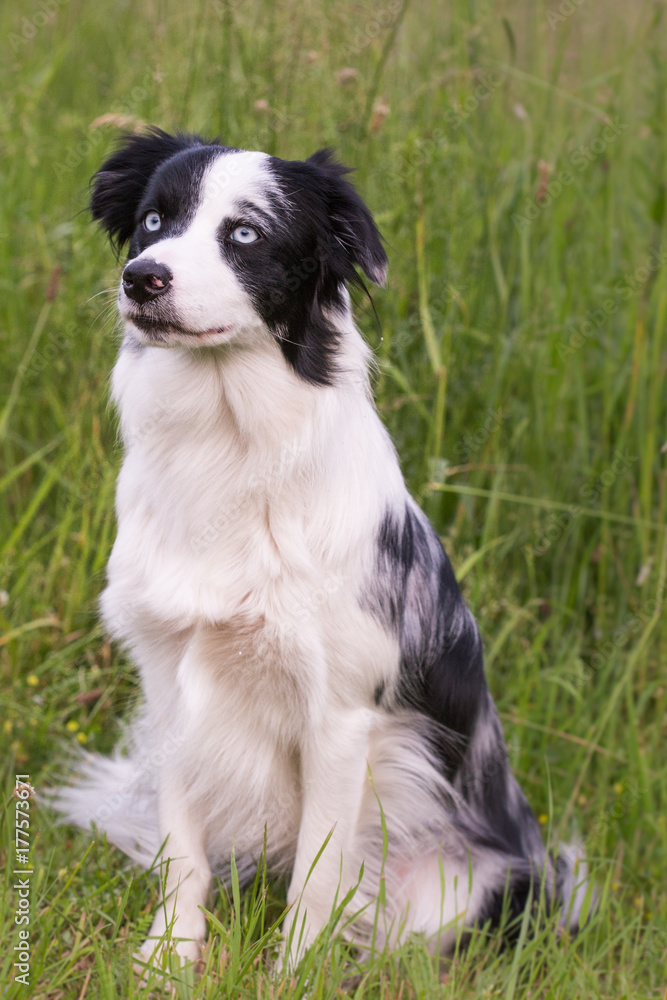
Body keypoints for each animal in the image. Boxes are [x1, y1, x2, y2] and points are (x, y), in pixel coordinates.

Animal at [52, 127, 588, 968]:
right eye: (152, 222)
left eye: (245, 234)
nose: (141, 279)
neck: (229, 446)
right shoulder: (173, 685)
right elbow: (182, 850)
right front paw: (170, 957)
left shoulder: (340, 716)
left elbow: (316, 874)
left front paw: (291, 971)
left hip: (457, 886)